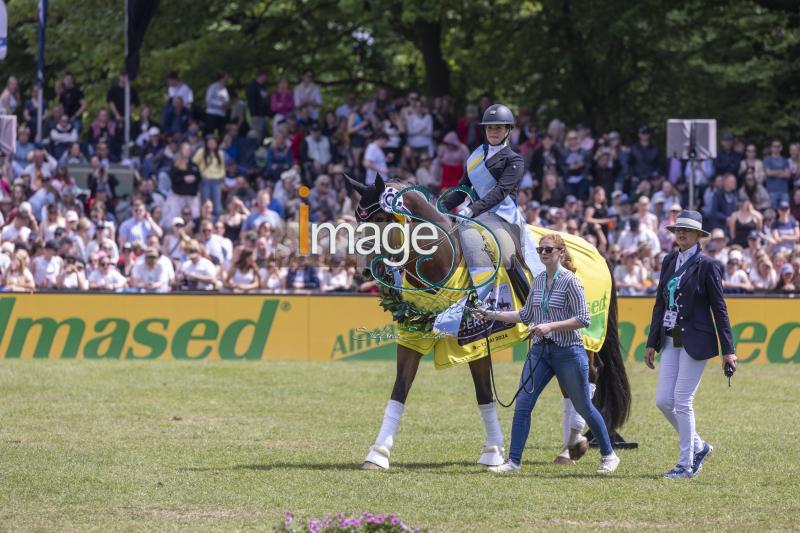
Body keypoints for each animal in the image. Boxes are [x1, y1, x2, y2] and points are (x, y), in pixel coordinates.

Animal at [350, 172, 632, 468]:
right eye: (358, 220)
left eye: (381, 218)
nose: (366, 271)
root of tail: (597, 251)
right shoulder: (413, 339)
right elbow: (399, 391)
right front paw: (378, 454)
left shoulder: (475, 343)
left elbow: (483, 393)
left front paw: (493, 453)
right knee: (571, 381)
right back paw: (569, 447)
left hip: (582, 336)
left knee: (588, 376)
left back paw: (573, 445)